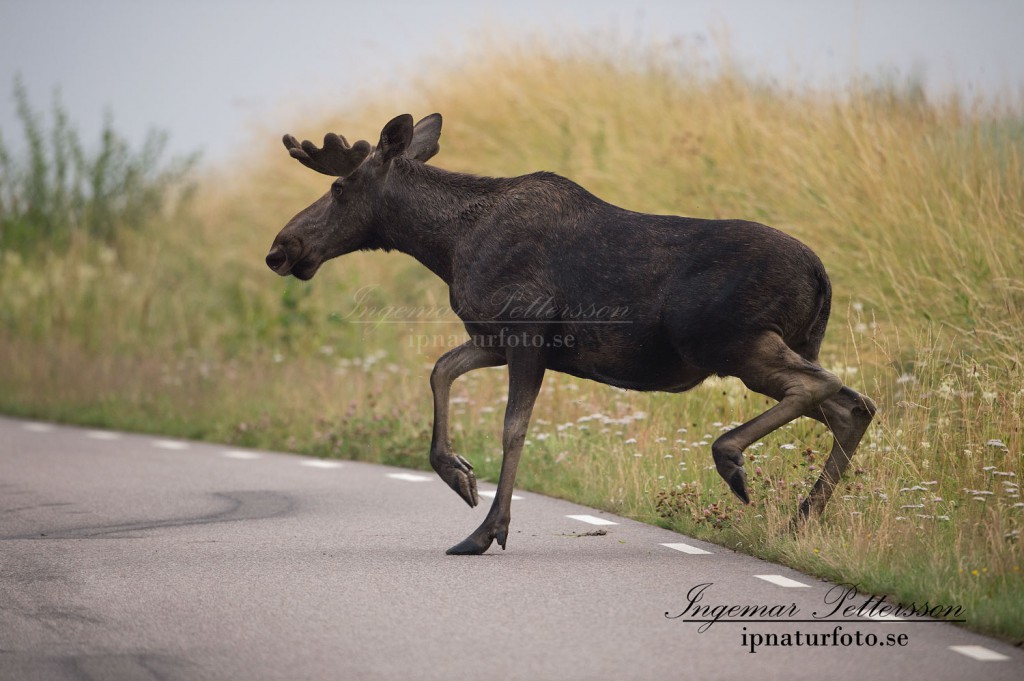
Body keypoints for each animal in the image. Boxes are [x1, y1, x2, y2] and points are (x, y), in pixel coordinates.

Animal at [268, 114, 876, 557]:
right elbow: (440, 370)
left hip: (733, 344)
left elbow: (513, 429)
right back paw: (800, 519)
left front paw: (486, 531)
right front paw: (460, 476)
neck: (446, 245)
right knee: (852, 405)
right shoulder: (492, 337)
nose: (281, 247)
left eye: (340, 186)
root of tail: (822, 276)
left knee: (824, 387)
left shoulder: (526, 332)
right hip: (780, 344)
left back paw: (733, 462)